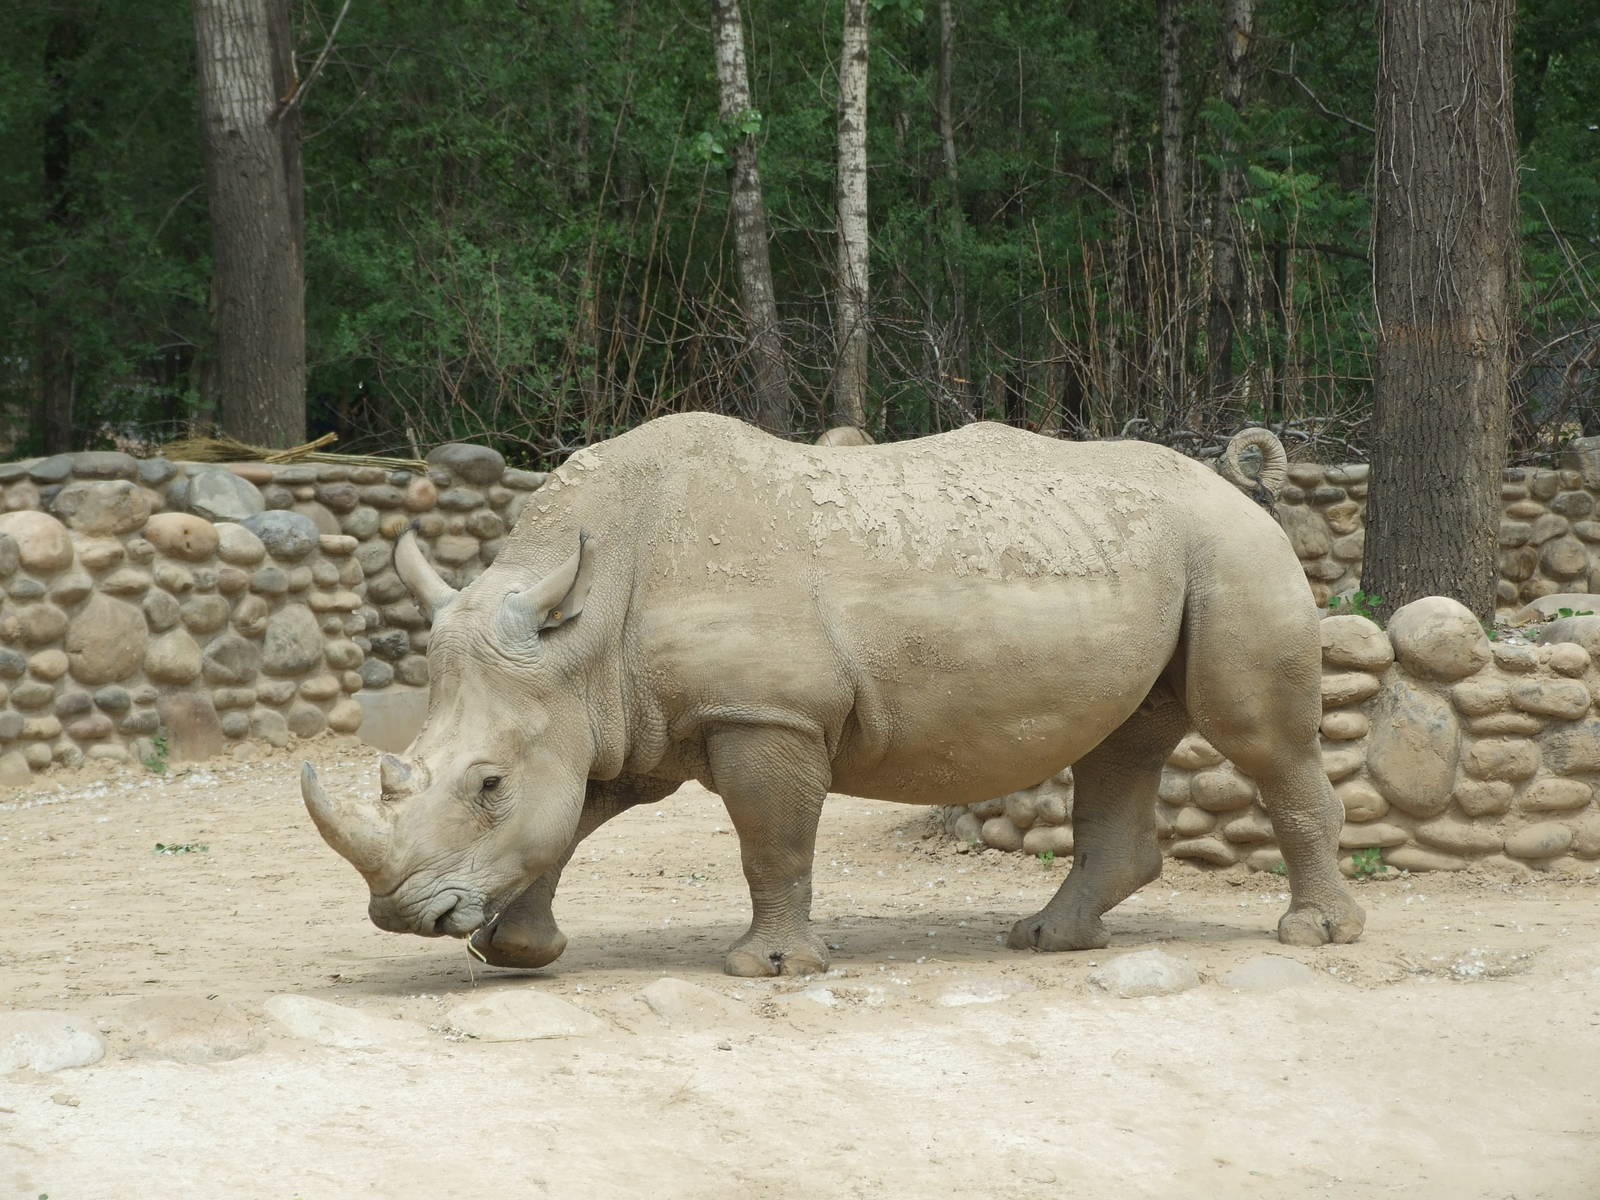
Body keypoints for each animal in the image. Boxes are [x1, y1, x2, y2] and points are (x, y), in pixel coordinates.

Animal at [302, 414, 1364, 976]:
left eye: (486, 786)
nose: (401, 915)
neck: (585, 629)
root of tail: (1237, 485)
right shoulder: (611, 713)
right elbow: (569, 819)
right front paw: (517, 952)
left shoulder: (764, 712)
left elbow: (771, 840)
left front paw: (767, 970)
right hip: (1163, 555)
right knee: (1121, 743)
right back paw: (1044, 941)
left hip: (1232, 550)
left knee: (1257, 738)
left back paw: (1316, 935)